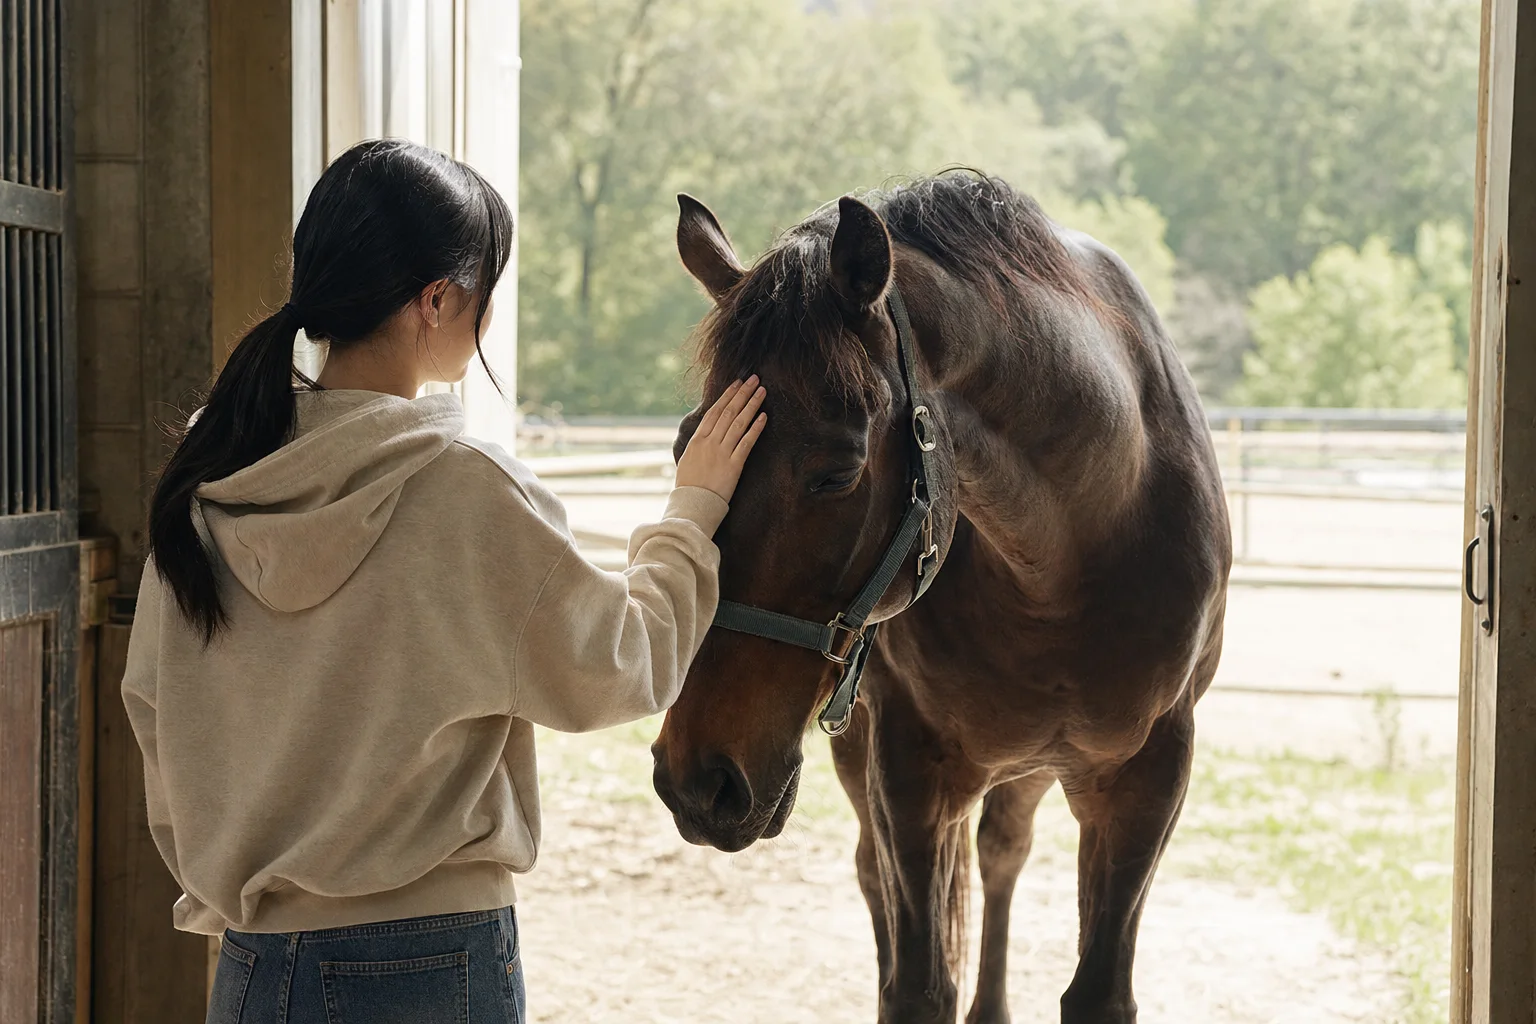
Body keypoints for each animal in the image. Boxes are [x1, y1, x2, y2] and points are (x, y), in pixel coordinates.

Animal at [650, 171, 1231, 1024]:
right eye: (685, 443)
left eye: (837, 471)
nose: (697, 781)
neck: (1067, 558)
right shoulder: (910, 770)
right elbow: (919, 985)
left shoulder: (1149, 777)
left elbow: (1096, 989)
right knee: (881, 873)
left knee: (1001, 855)